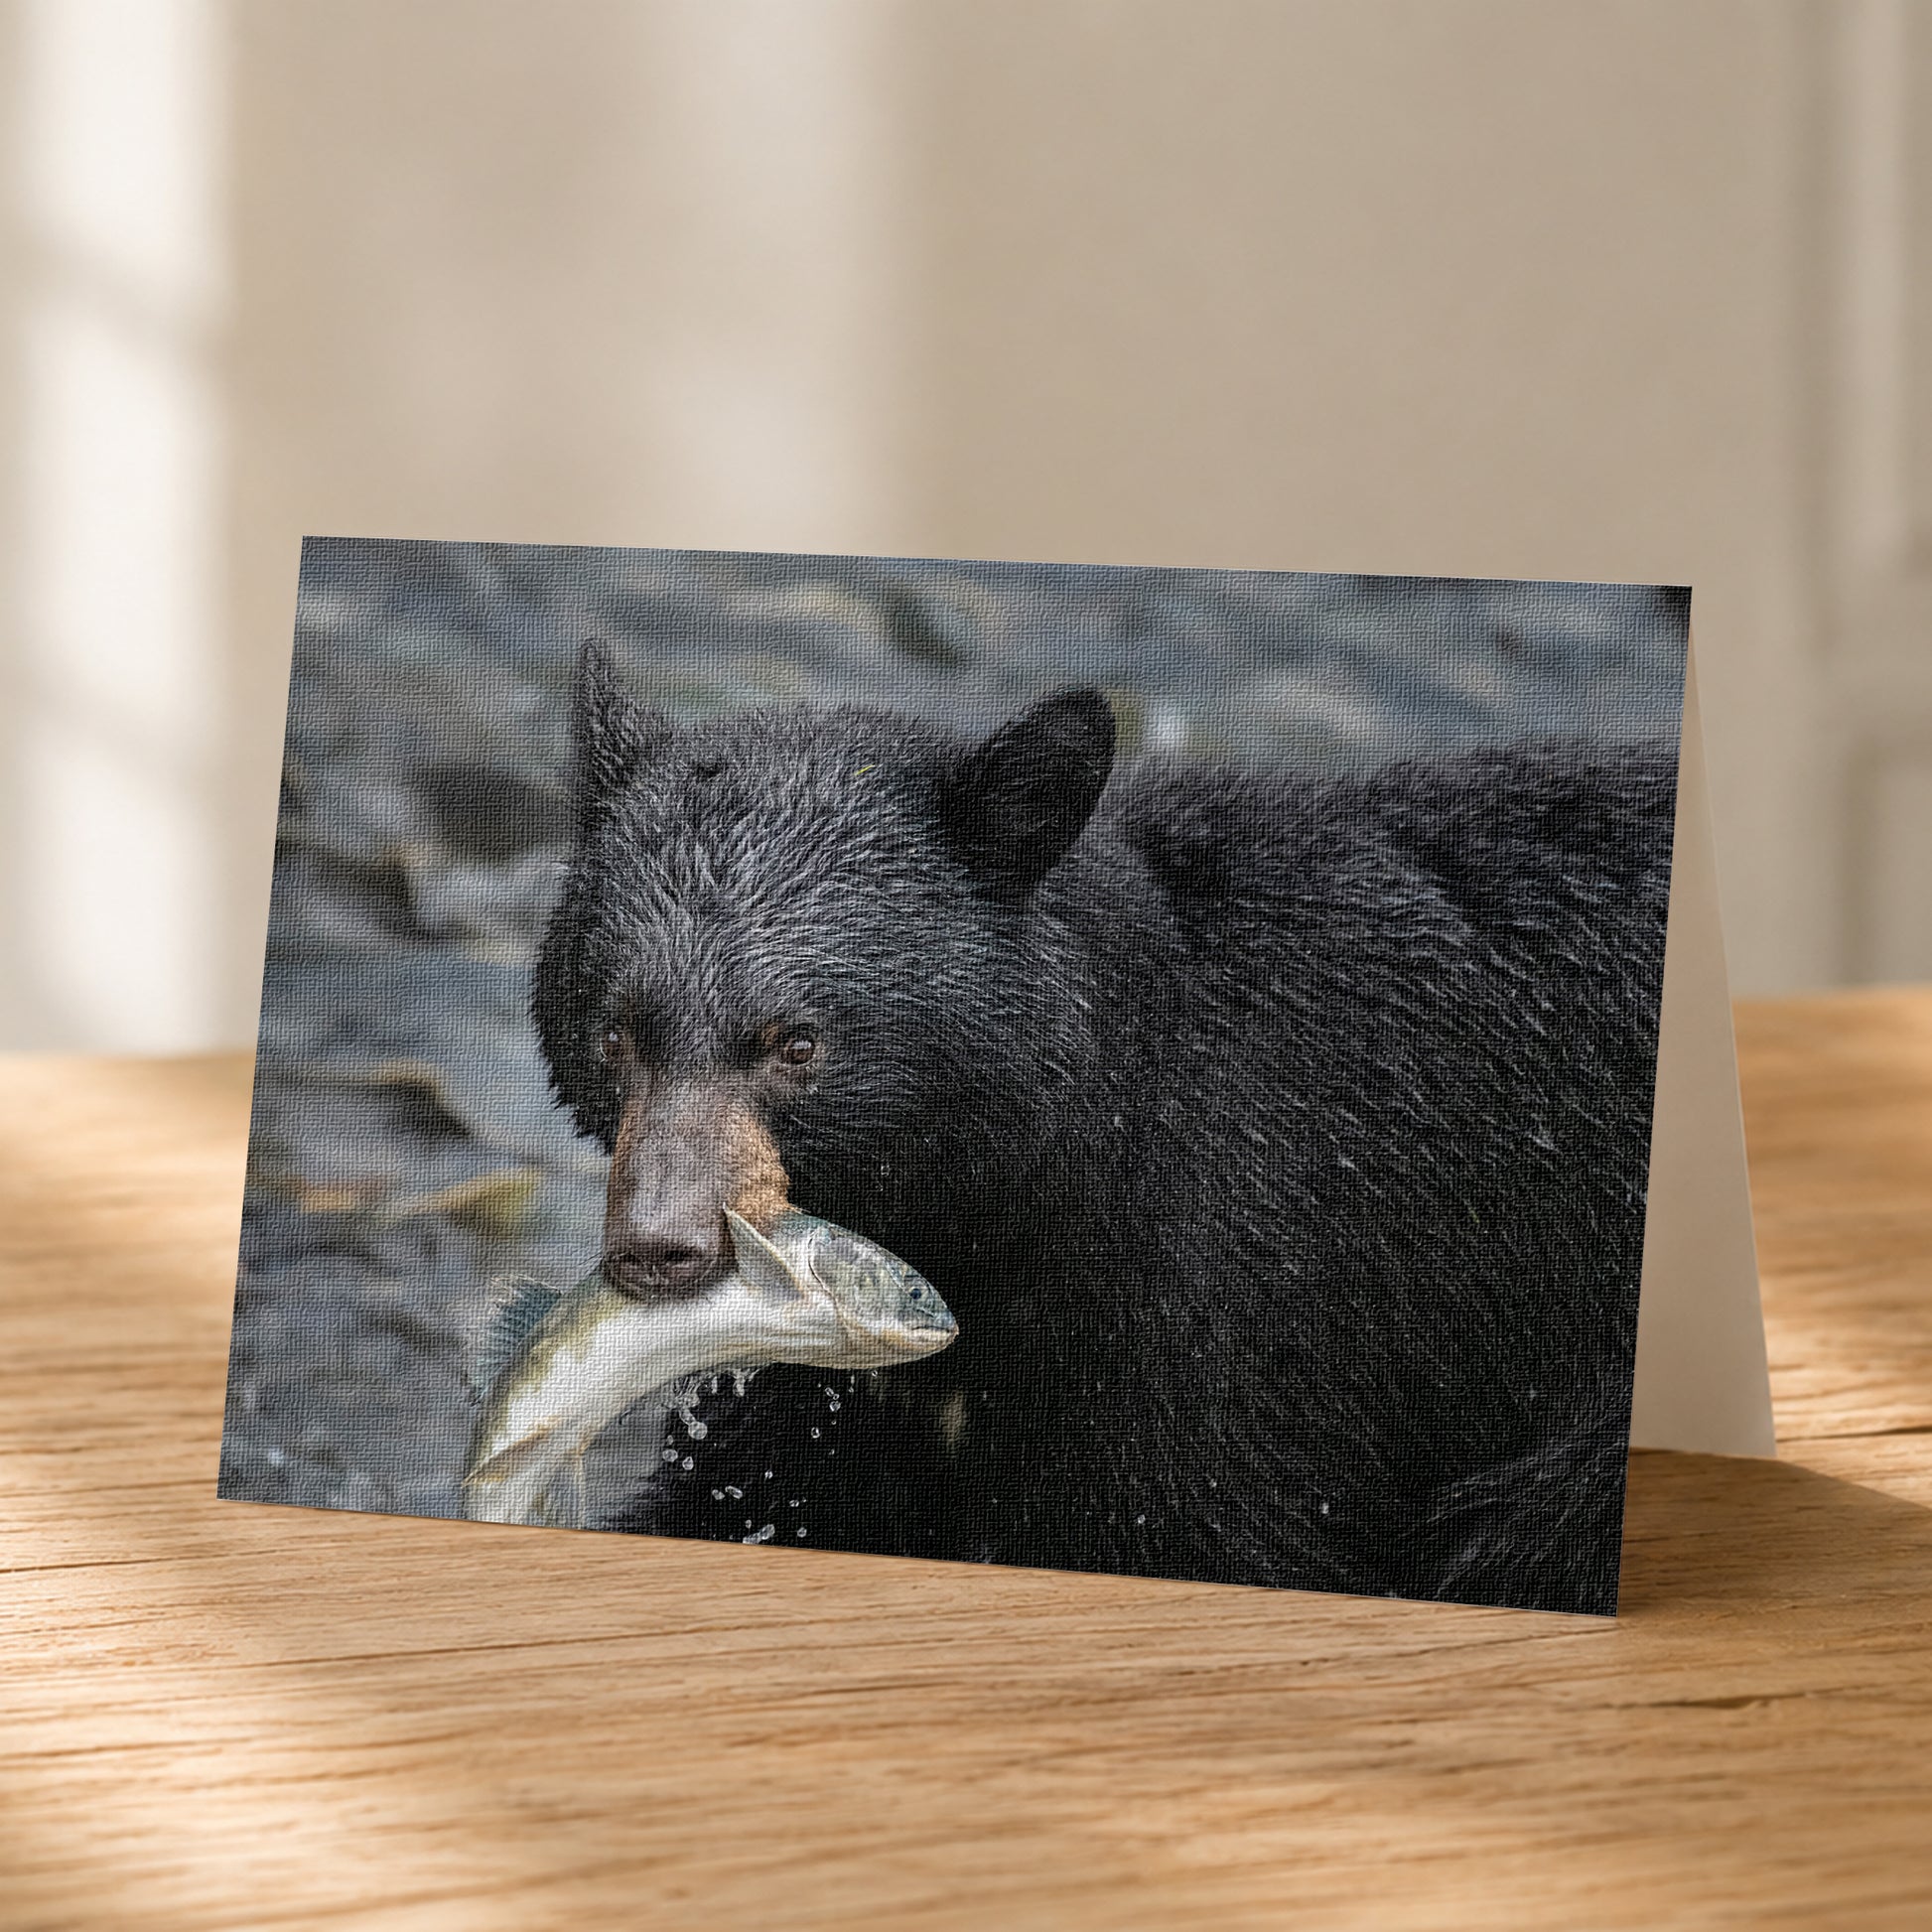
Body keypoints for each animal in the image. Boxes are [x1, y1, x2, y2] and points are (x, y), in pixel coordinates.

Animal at [530, 640, 1677, 1614]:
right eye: (616, 1033)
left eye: (796, 1043)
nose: (660, 1249)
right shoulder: (838, 1376)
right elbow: (753, 1489)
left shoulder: (1235, 1314)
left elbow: (1191, 1519)